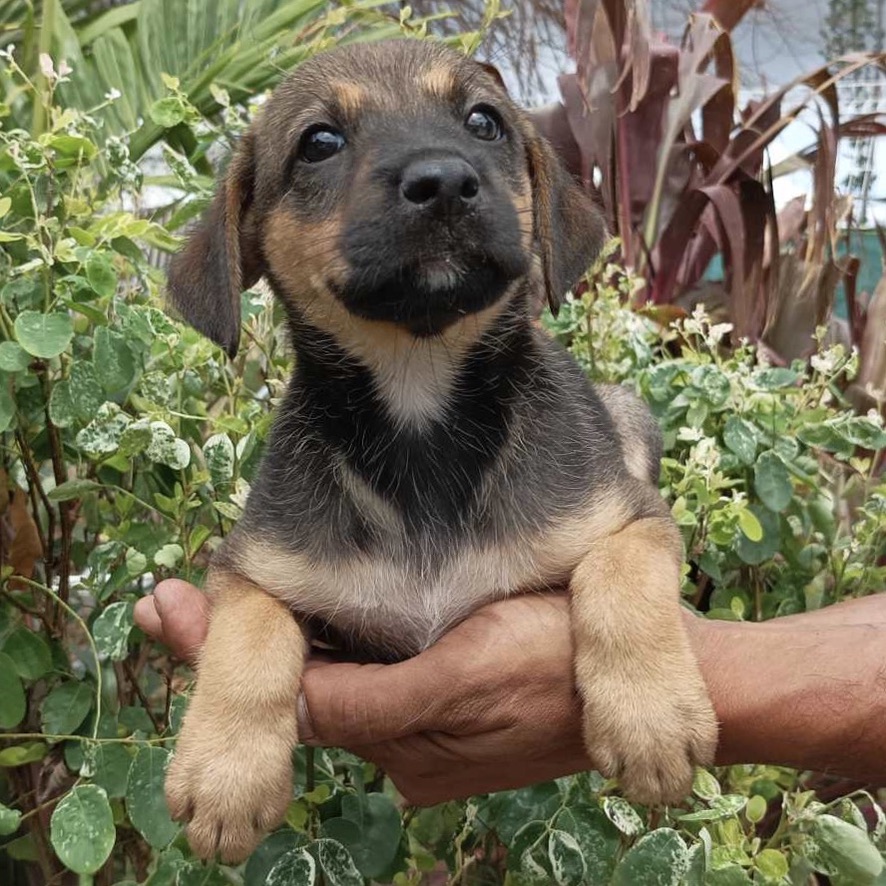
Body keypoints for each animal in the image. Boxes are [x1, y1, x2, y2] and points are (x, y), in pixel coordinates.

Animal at [165, 38, 720, 864]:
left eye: (484, 121)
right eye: (319, 141)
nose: (445, 182)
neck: (419, 400)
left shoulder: (634, 516)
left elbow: (621, 580)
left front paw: (652, 717)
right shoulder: (254, 563)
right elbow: (249, 636)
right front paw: (224, 769)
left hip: (625, 414)